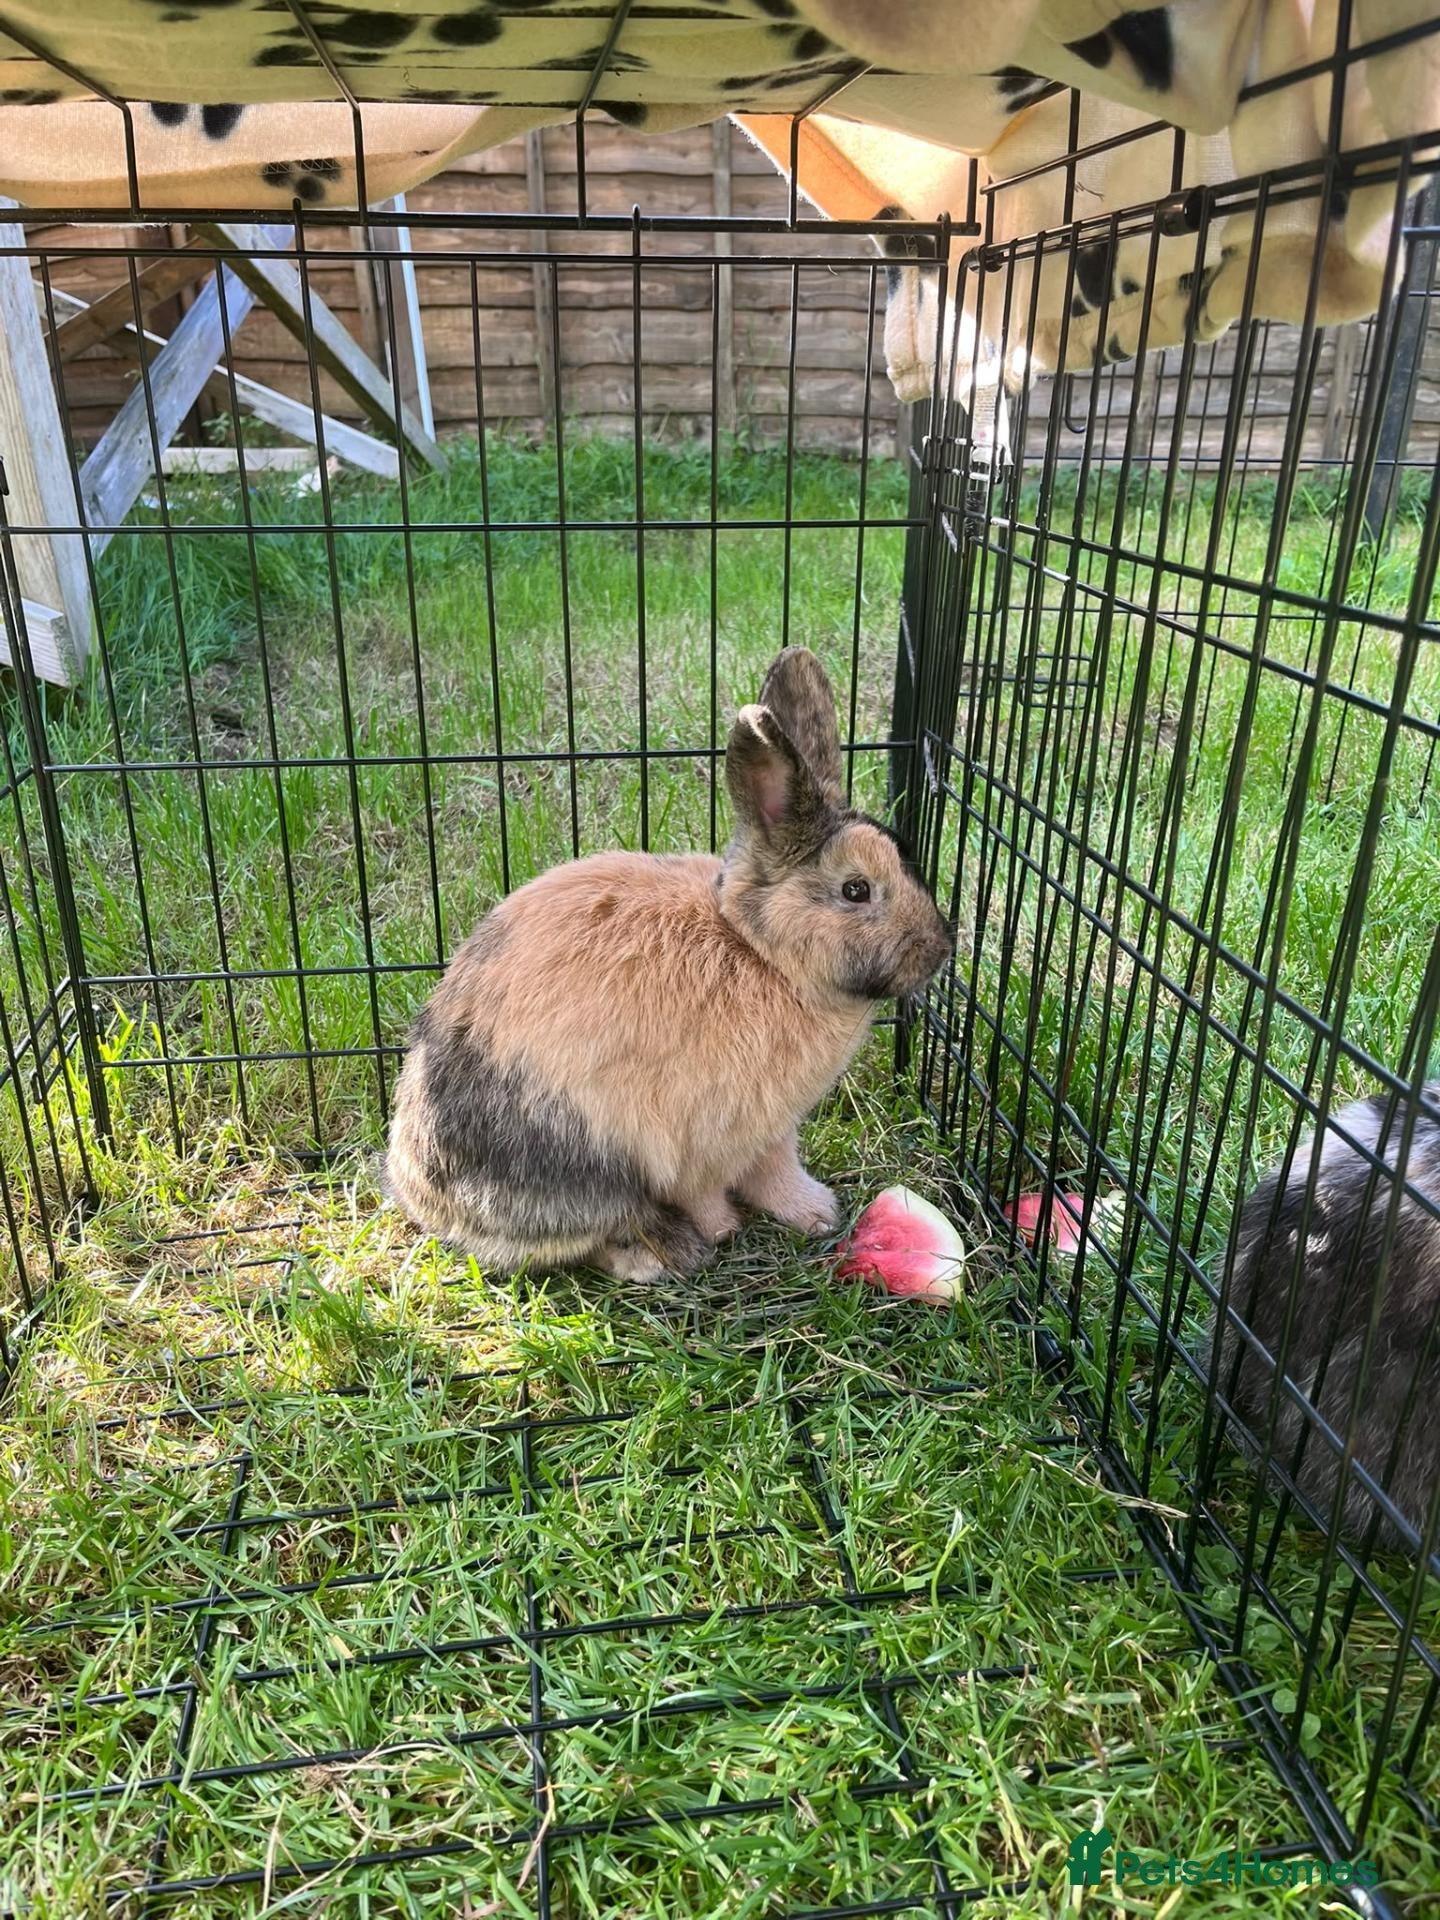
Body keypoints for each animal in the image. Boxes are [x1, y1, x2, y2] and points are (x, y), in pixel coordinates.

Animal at [381, 646, 954, 1282]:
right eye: (857, 890)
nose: (941, 949)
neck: (761, 953)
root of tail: (420, 1197)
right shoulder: (703, 1145)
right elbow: (705, 1192)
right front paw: (726, 1229)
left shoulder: (772, 1133)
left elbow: (777, 1174)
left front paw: (816, 1213)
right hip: (587, 1171)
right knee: (594, 1233)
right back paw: (663, 1255)